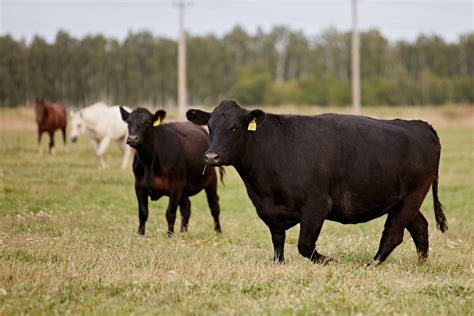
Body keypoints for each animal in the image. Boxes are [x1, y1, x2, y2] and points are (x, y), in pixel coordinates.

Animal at [118, 107, 222, 236]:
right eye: (128, 122)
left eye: (147, 122)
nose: (132, 138)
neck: (149, 163)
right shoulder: (139, 185)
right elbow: (143, 212)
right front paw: (140, 234)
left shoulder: (175, 185)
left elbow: (170, 213)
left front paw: (170, 235)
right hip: (184, 190)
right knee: (186, 207)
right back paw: (183, 232)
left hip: (211, 180)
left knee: (214, 206)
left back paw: (218, 232)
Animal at [187, 100, 446, 264]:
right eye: (210, 126)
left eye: (235, 127)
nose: (211, 156)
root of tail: (419, 125)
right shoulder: (269, 211)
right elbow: (278, 244)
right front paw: (279, 265)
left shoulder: (316, 205)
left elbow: (305, 245)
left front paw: (331, 261)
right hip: (401, 200)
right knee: (419, 227)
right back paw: (421, 263)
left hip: (412, 196)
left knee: (393, 233)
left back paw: (371, 265)